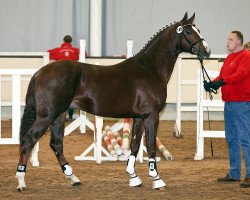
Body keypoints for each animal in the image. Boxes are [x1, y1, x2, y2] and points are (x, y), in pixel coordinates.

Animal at [15, 12, 210, 191]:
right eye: (188, 31)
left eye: (198, 30)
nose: (206, 51)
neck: (149, 69)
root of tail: (39, 72)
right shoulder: (151, 116)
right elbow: (151, 145)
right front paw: (157, 180)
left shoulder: (138, 118)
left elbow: (134, 145)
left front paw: (133, 177)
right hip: (47, 116)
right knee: (29, 139)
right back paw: (21, 181)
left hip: (59, 115)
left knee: (56, 144)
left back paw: (73, 178)